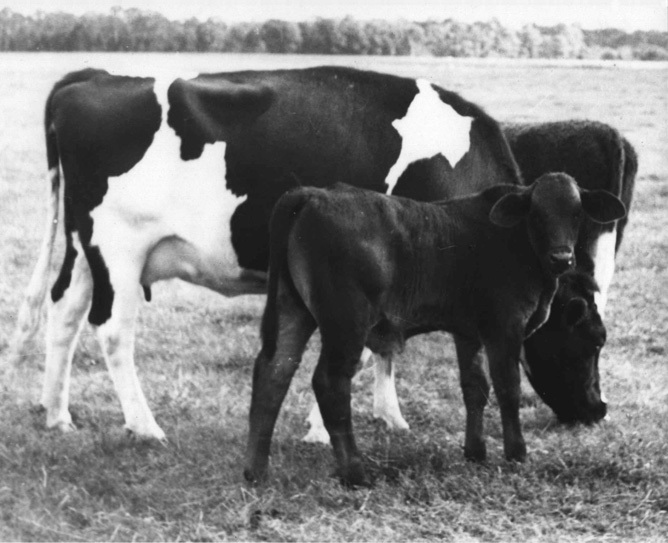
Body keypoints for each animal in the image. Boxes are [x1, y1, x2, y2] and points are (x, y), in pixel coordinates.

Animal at [244, 175, 626, 487]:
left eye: (577, 213)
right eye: (594, 342)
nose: (563, 257)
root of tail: (314, 193)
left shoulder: (468, 332)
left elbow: (475, 388)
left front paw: (475, 451)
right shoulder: (505, 327)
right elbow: (508, 388)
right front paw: (517, 453)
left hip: (292, 308)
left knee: (274, 371)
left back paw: (257, 471)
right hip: (346, 323)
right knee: (329, 382)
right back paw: (354, 471)